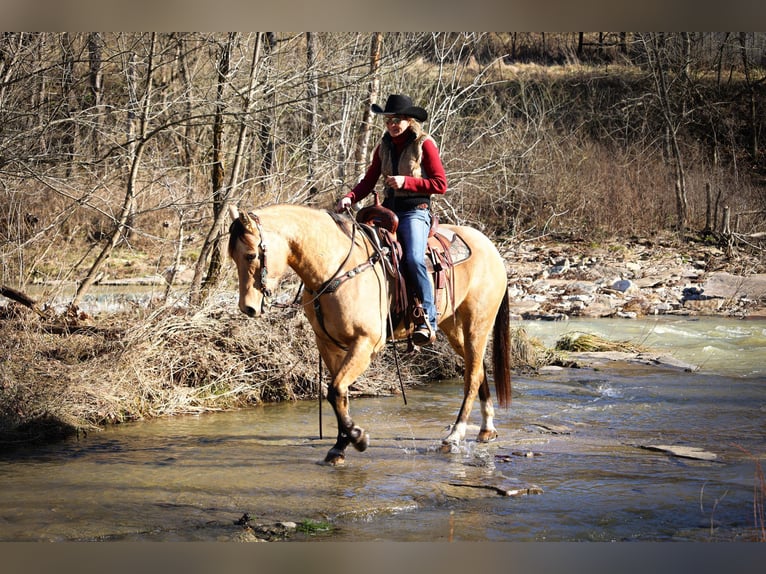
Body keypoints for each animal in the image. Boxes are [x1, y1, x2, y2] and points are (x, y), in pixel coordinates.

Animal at [230, 205, 516, 466]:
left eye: (252, 255)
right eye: (233, 256)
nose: (248, 308)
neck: (335, 269)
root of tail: (489, 246)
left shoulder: (366, 344)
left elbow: (335, 390)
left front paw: (358, 437)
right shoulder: (328, 345)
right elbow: (340, 395)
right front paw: (340, 447)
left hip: (476, 325)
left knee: (471, 377)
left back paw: (455, 435)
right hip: (453, 327)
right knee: (478, 368)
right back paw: (487, 429)